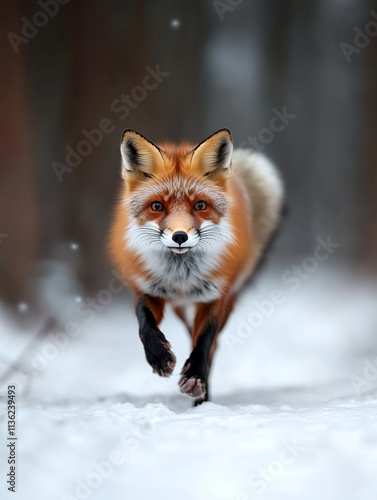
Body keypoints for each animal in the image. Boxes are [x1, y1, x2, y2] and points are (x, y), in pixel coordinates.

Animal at [108, 128, 282, 402]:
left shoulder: (213, 297)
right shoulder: (150, 290)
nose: (180, 236)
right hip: (182, 309)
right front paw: (158, 356)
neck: (182, 278)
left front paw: (195, 377)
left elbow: (204, 342)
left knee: (210, 344)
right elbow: (144, 323)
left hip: (226, 302)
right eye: (157, 206)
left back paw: (201, 398)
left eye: (200, 205)